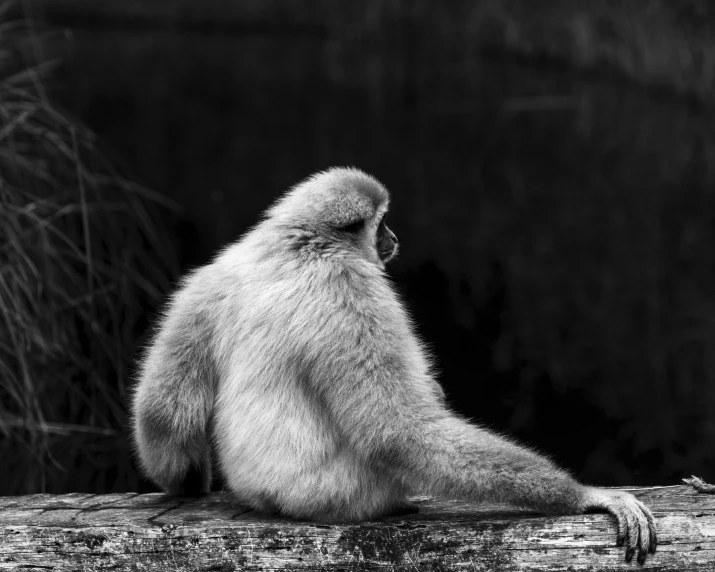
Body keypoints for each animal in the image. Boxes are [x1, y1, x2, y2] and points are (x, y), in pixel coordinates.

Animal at [131, 168, 656, 564]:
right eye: (381, 223)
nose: (394, 236)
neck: (301, 242)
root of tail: (270, 499)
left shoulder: (210, 276)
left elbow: (160, 410)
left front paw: (186, 484)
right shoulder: (352, 286)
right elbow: (397, 429)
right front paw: (587, 495)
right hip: (342, 493)